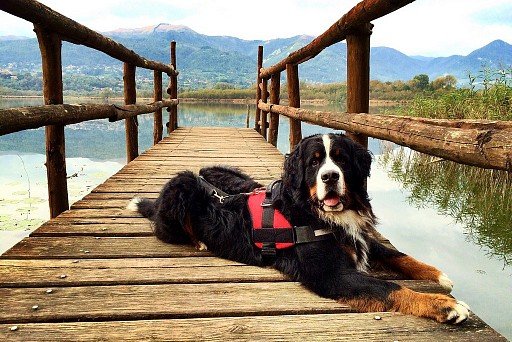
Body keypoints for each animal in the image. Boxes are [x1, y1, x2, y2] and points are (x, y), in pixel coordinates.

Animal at [129, 133, 472, 324]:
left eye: (341, 159)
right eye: (314, 162)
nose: (330, 177)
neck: (318, 214)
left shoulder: (358, 237)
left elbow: (396, 254)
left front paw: (438, 275)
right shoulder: (332, 273)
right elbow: (391, 287)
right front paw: (445, 305)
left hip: (222, 173)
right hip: (183, 182)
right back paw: (198, 241)